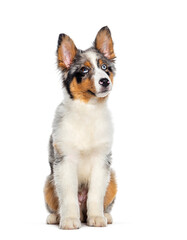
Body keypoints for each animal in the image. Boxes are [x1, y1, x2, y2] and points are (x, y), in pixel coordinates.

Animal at [43, 25, 117, 230]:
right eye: (84, 70)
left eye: (104, 67)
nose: (105, 81)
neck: (88, 110)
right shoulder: (64, 161)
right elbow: (68, 196)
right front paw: (69, 220)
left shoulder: (102, 161)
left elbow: (95, 195)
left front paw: (97, 218)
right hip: (49, 181)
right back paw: (55, 217)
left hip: (113, 177)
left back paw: (105, 215)